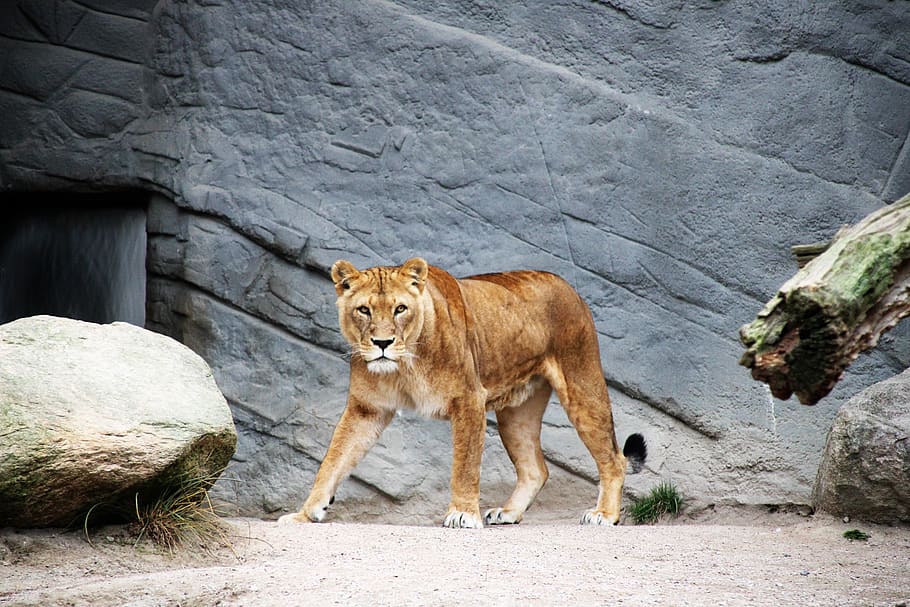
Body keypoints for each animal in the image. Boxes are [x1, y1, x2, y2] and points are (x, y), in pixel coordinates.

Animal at [278, 258, 646, 528]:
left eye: (400, 309)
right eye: (364, 310)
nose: (382, 343)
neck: (404, 366)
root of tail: (566, 284)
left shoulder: (469, 399)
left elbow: (465, 464)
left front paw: (462, 514)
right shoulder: (366, 409)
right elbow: (333, 460)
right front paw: (305, 513)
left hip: (582, 385)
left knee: (613, 459)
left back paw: (605, 515)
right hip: (516, 414)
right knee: (536, 469)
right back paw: (508, 513)